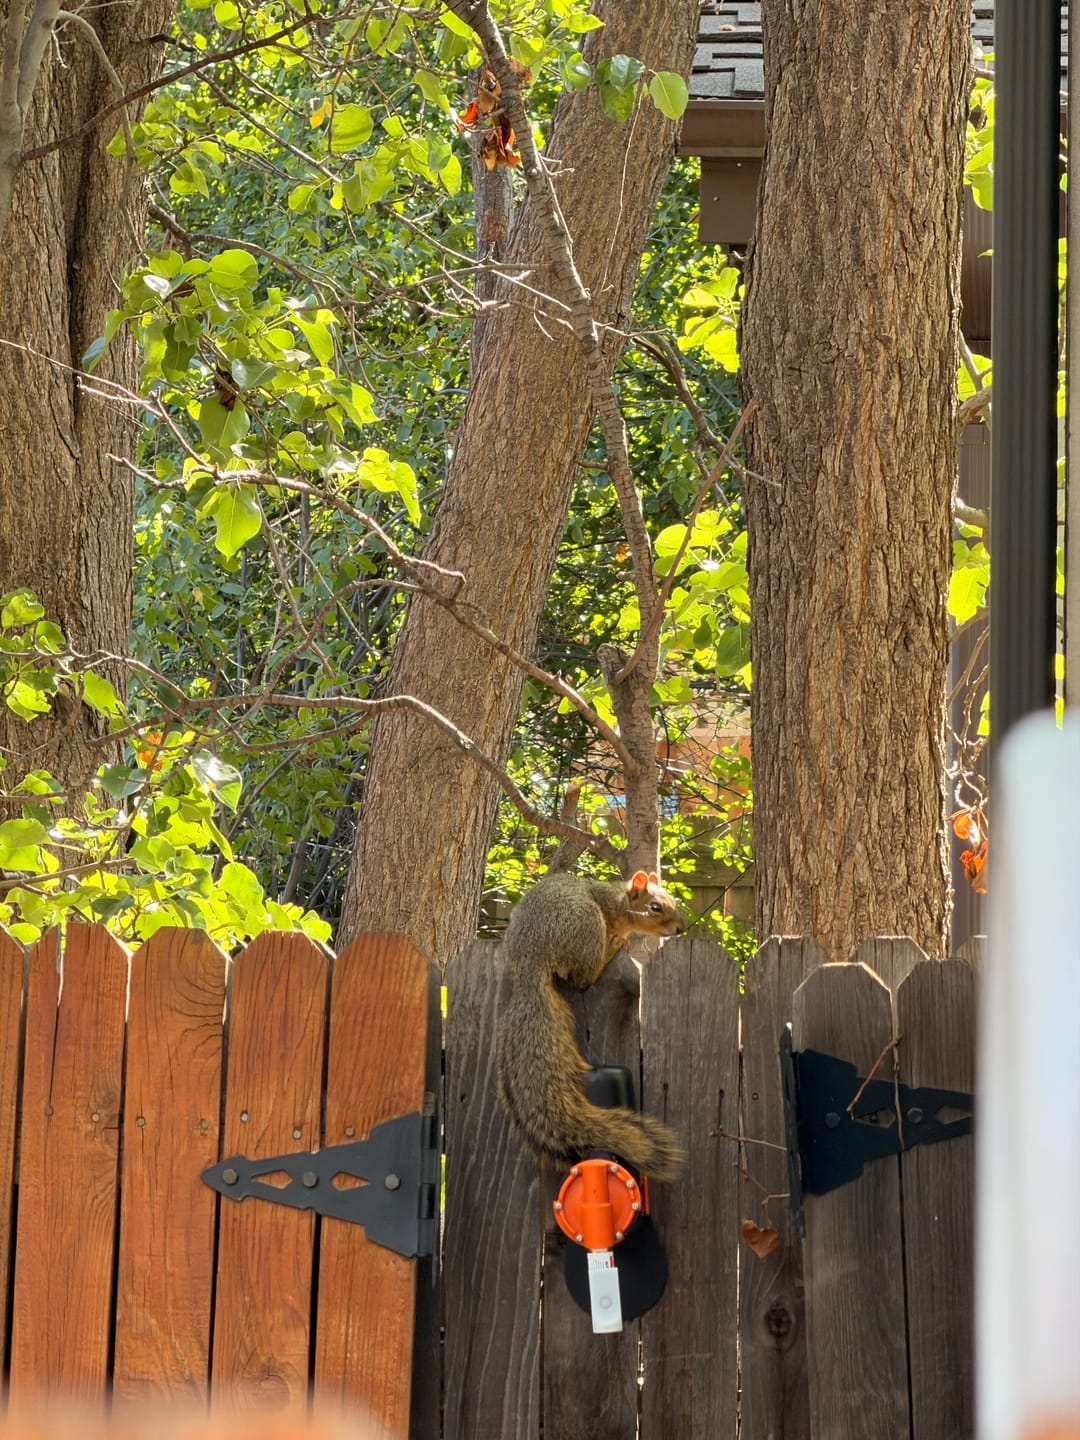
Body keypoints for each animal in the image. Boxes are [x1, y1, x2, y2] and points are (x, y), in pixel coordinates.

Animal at [496, 869, 688, 1180]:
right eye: (655, 907)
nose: (681, 928)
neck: (620, 902)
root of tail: (531, 961)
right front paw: (621, 937)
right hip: (587, 926)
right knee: (584, 977)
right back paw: (613, 946)